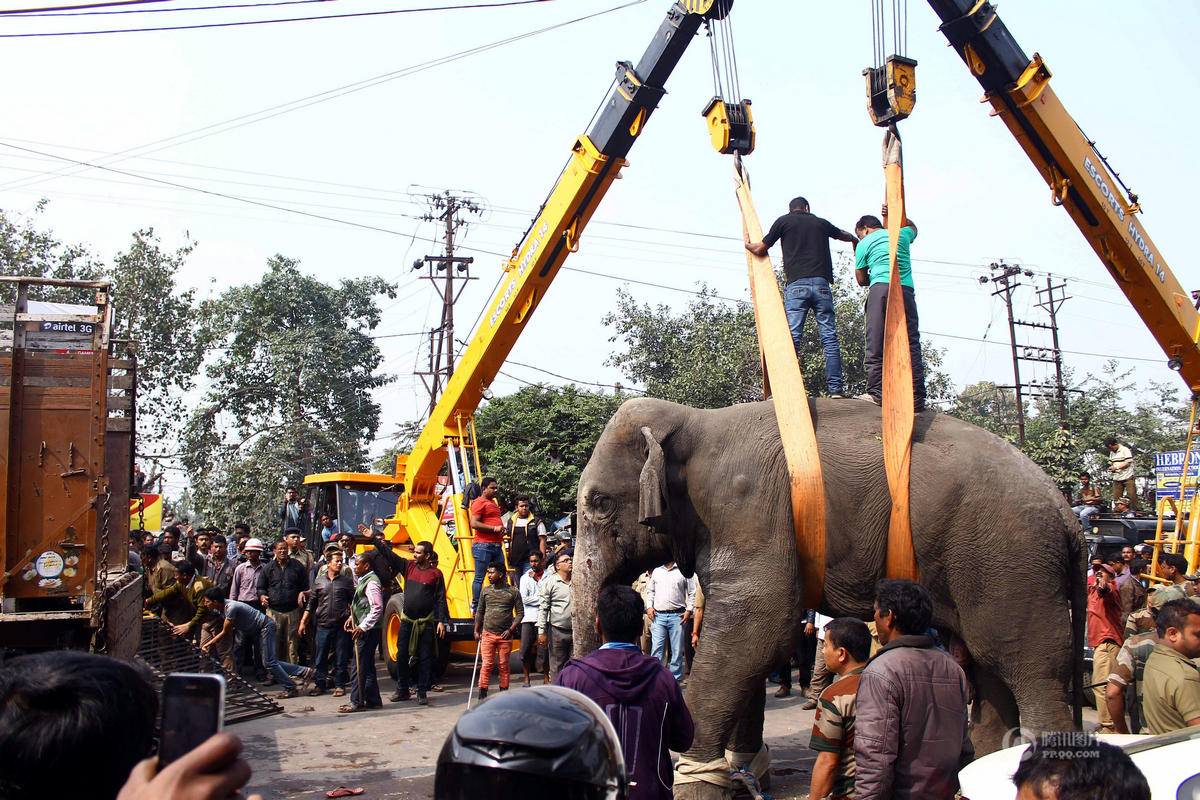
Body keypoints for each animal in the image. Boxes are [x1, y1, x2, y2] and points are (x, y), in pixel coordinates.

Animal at [571, 398, 1089, 796]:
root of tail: (1067, 513)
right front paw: (743, 773)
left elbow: (757, 626)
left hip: (1014, 562)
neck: (695, 420)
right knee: (989, 668)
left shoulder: (749, 506)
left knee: (1033, 668)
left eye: (599, 503)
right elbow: (747, 637)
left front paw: (693, 781)